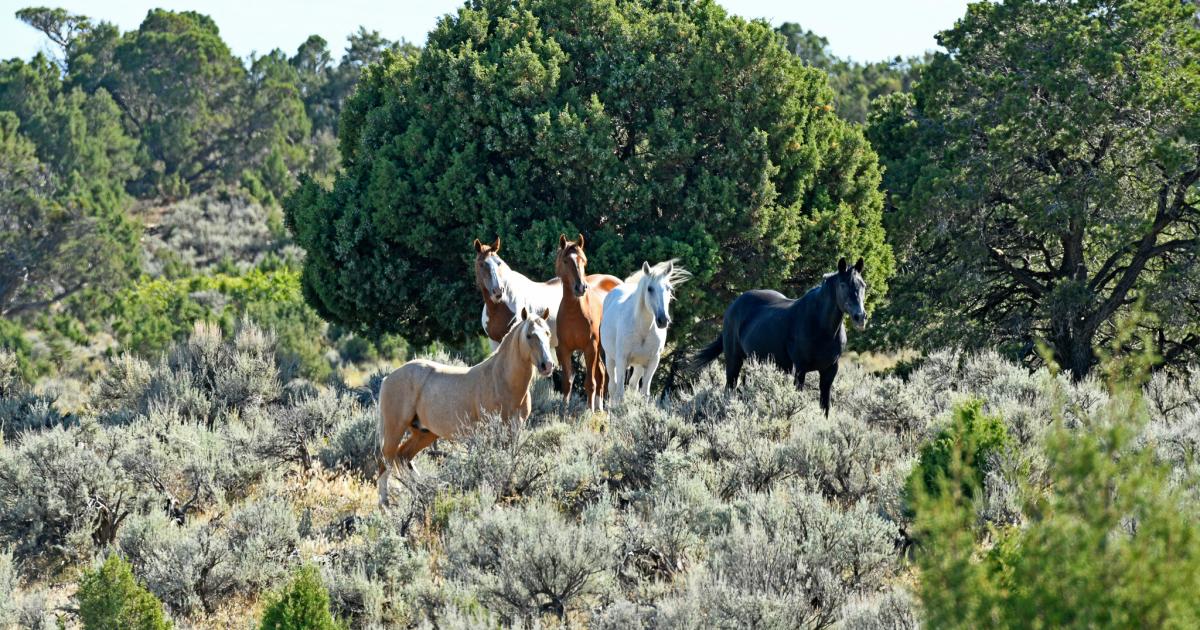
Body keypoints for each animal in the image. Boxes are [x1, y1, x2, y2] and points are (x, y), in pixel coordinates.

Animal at [376, 306, 556, 506]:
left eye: (548, 333)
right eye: (529, 335)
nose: (547, 365)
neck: (501, 380)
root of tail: (388, 378)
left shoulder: (515, 429)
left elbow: (510, 460)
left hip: (424, 433)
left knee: (402, 458)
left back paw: (424, 492)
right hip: (395, 429)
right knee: (385, 461)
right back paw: (386, 505)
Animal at [554, 233, 622, 412]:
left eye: (583, 261)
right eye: (566, 261)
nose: (580, 287)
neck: (574, 313)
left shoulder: (590, 347)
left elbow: (590, 383)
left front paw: (589, 410)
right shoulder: (564, 349)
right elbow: (567, 382)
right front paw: (564, 410)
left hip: (603, 348)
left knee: (606, 376)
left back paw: (601, 407)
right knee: (602, 373)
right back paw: (599, 406)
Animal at [600, 259, 690, 405]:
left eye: (669, 288)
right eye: (650, 288)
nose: (663, 320)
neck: (643, 329)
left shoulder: (653, 361)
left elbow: (645, 393)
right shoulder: (621, 359)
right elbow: (619, 393)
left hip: (638, 365)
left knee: (633, 385)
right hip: (610, 359)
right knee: (613, 387)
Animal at [693, 257, 868, 416]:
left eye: (863, 285)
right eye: (843, 285)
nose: (860, 317)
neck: (820, 326)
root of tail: (733, 305)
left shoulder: (830, 370)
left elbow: (825, 407)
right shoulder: (800, 369)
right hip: (734, 359)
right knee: (730, 388)